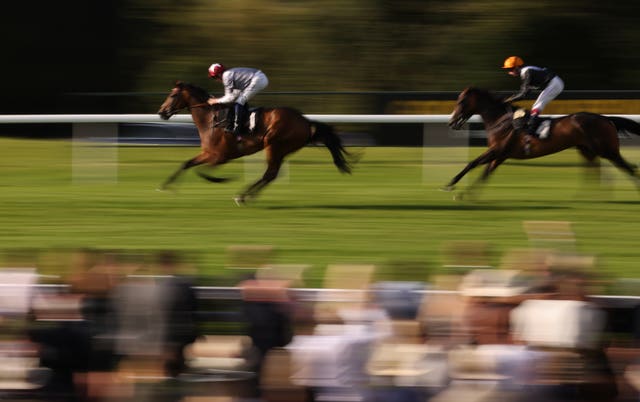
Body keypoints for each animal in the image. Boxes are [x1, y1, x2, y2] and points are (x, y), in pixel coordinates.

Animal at [156, 81, 356, 204]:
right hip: (281, 150)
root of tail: (305, 121)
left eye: (172, 95)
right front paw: (167, 187)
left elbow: (203, 172)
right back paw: (247, 195)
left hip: (273, 145)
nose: (161, 112)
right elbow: (187, 164)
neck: (210, 119)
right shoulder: (208, 153)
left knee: (270, 173)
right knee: (271, 174)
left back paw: (243, 196)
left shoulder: (220, 156)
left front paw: (224, 179)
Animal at [442, 87, 640, 198]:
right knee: (595, 169)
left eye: (461, 101)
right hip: (587, 149)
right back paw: (588, 195)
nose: (451, 122)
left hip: (607, 150)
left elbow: (473, 163)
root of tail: (606, 118)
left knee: (627, 168)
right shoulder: (500, 155)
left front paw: (451, 185)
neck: (501, 121)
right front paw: (467, 193)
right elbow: (485, 173)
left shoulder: (497, 150)